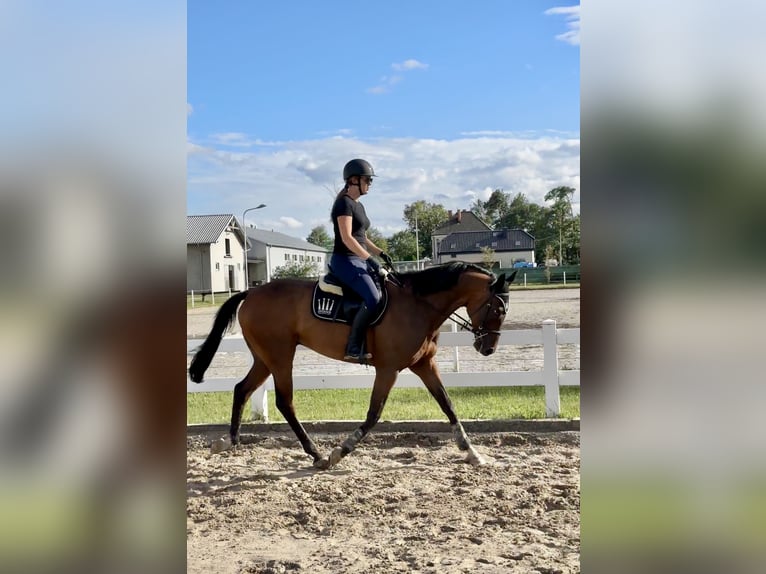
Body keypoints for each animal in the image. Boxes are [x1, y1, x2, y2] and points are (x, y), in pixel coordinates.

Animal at [190, 264, 516, 470]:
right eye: (498, 309)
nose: (488, 348)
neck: (419, 305)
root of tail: (252, 292)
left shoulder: (425, 364)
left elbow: (447, 404)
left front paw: (472, 452)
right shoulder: (388, 369)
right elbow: (373, 414)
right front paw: (340, 451)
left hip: (264, 358)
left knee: (241, 389)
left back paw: (230, 442)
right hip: (280, 356)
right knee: (285, 402)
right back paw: (317, 454)